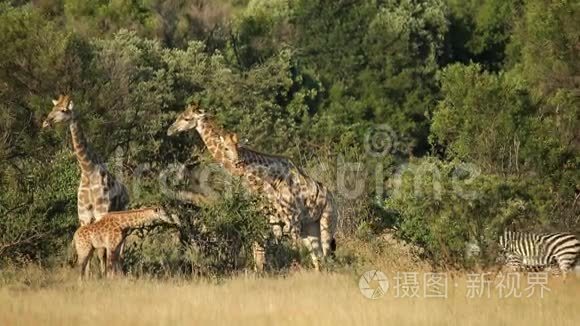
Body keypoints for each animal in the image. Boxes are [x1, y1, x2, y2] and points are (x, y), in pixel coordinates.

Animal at [42, 95, 129, 276]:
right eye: (53, 108)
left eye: (63, 110)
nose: (45, 122)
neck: (88, 170)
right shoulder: (84, 216)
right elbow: (88, 246)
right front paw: (88, 276)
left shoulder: (101, 213)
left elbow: (101, 250)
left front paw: (103, 276)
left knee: (119, 248)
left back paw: (117, 272)